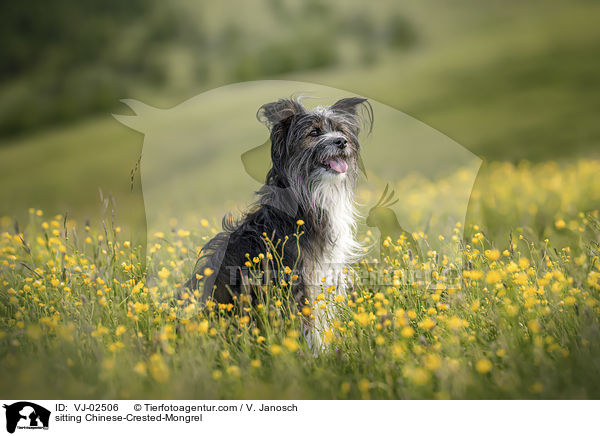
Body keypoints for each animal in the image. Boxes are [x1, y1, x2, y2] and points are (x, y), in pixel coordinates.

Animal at [185, 97, 372, 350]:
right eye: (314, 132)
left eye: (340, 130)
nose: (341, 142)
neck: (308, 198)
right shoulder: (300, 280)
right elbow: (309, 322)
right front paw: (318, 353)